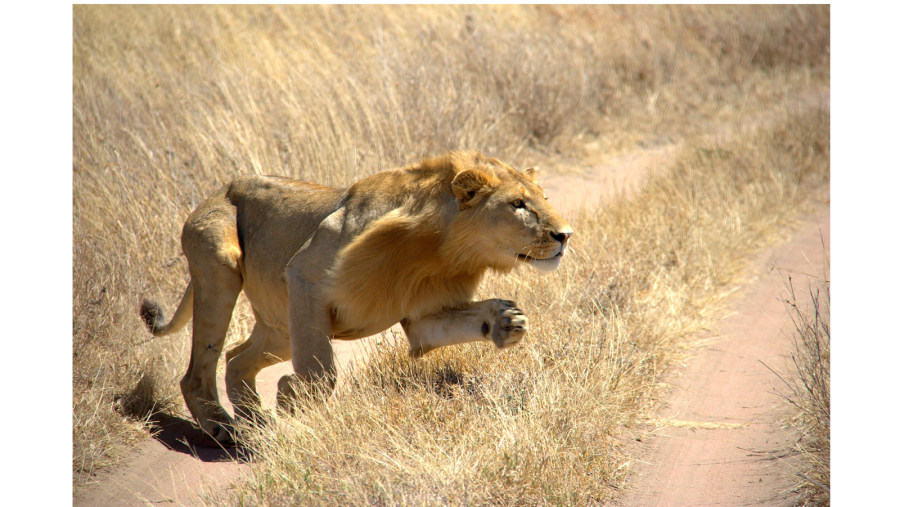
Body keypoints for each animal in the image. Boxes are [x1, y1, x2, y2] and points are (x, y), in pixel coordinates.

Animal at [141, 149, 576, 442]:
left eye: (544, 198)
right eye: (518, 205)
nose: (565, 235)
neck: (441, 249)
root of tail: (221, 189)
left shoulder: (422, 315)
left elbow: (464, 321)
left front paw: (507, 320)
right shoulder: (303, 277)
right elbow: (322, 371)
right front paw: (291, 397)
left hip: (280, 327)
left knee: (234, 358)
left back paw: (254, 421)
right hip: (222, 268)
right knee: (197, 374)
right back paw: (225, 429)